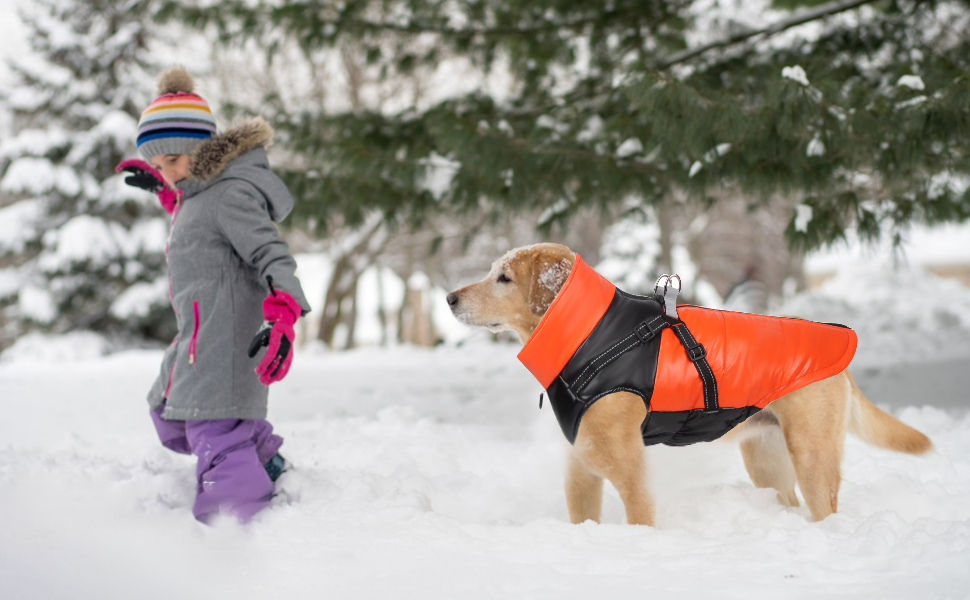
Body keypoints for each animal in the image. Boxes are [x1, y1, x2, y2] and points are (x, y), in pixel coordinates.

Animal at [446, 243, 932, 524]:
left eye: (504, 278)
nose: (448, 298)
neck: (590, 333)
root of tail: (841, 347)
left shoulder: (629, 468)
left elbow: (640, 515)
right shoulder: (579, 467)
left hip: (813, 457)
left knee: (825, 508)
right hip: (767, 461)